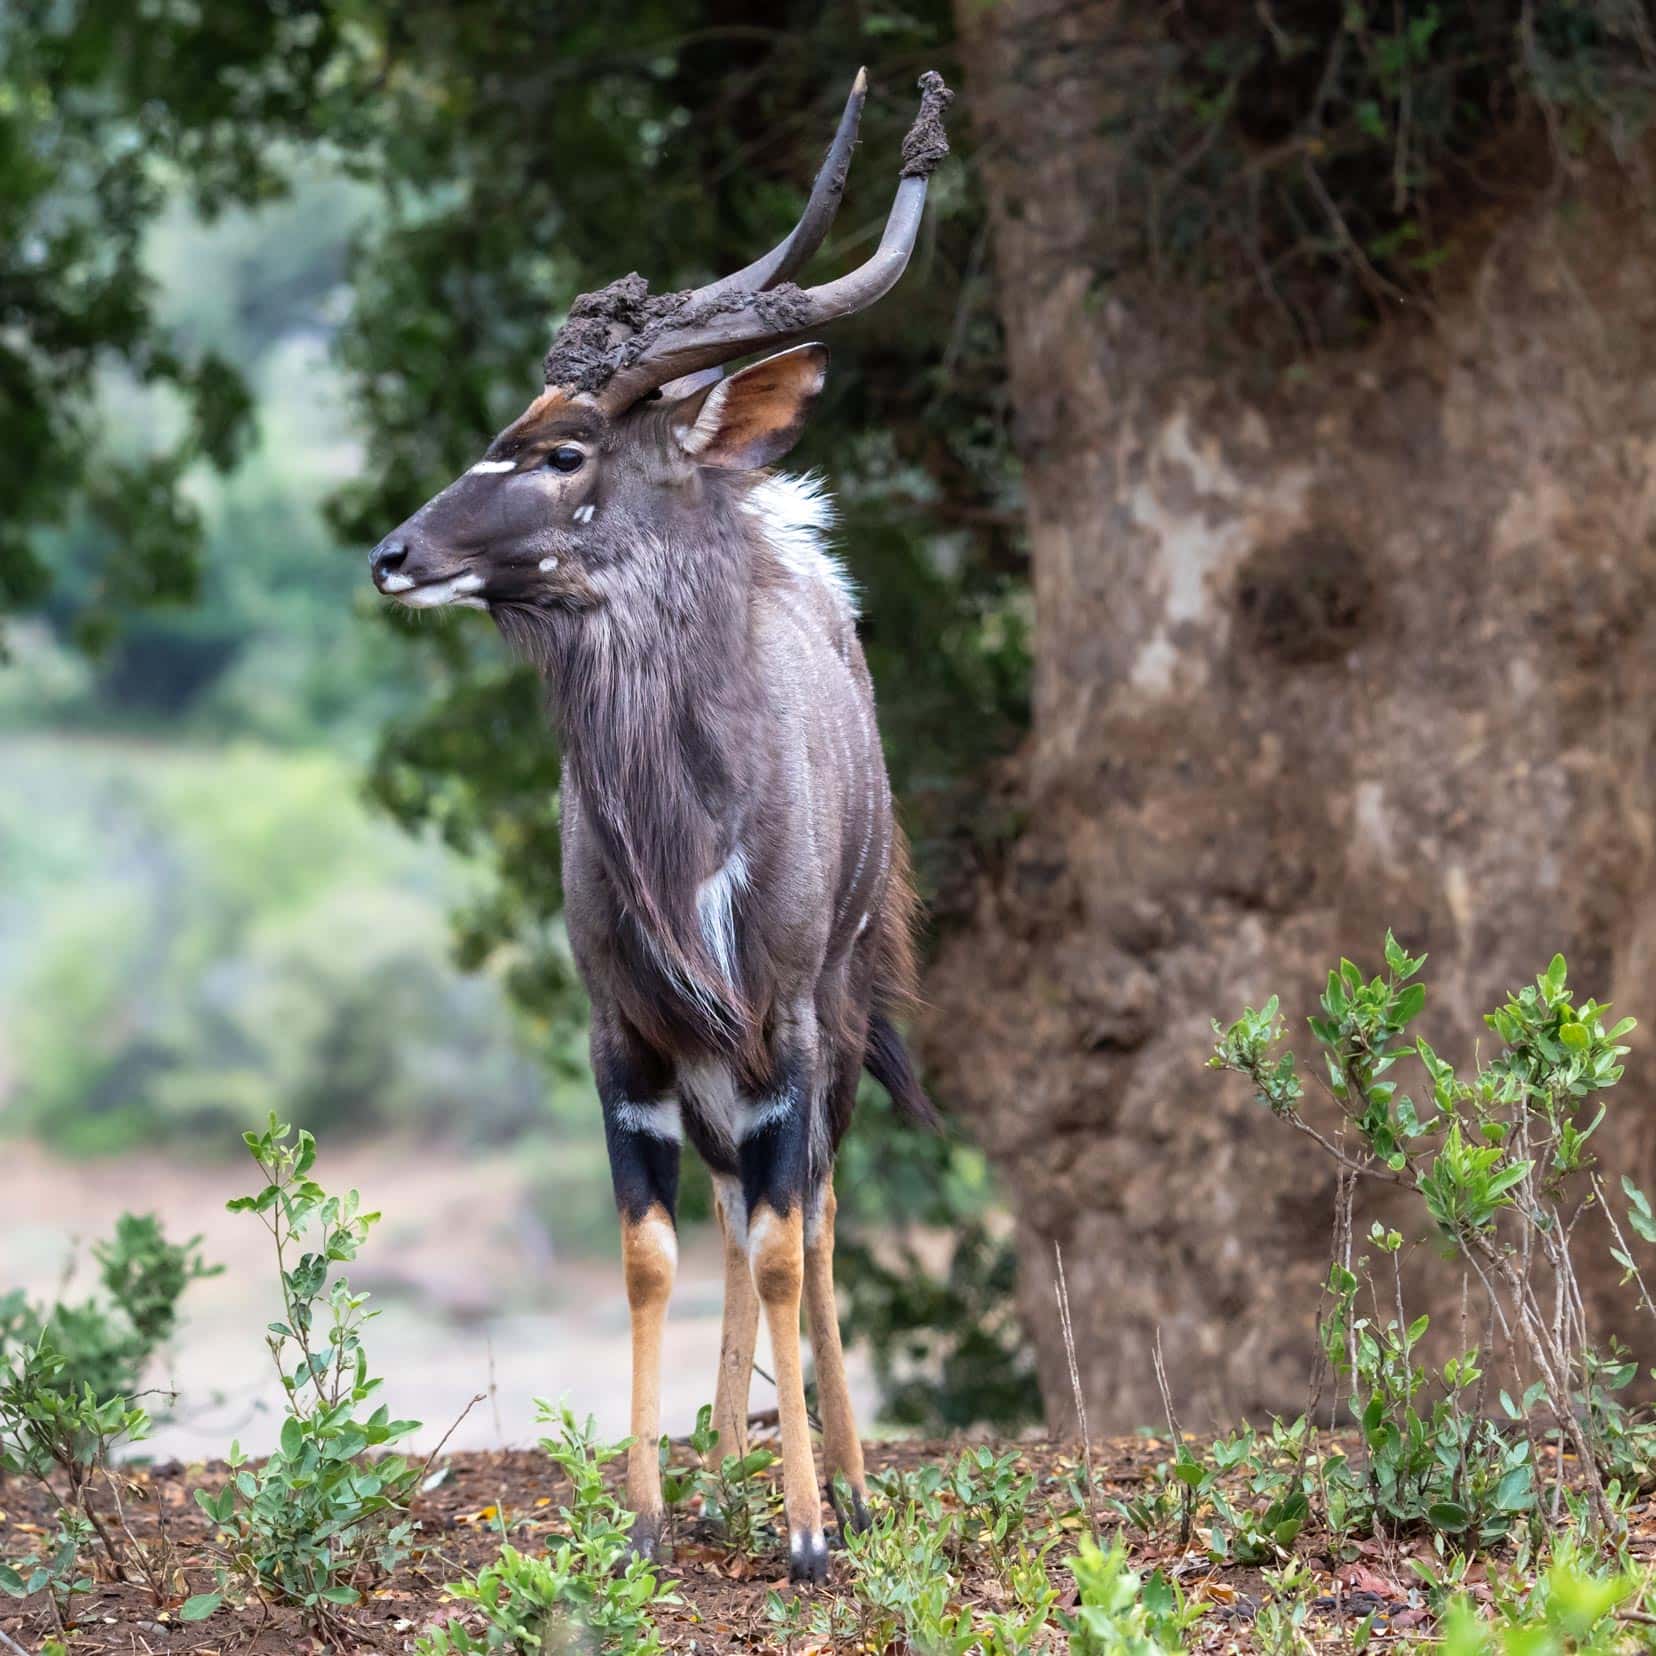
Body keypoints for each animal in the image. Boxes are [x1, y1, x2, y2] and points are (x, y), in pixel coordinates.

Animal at [369, 71, 953, 1583]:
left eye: (562, 449)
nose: (394, 555)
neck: (690, 828)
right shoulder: (626, 1026)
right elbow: (652, 1251)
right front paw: (642, 1520)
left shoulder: (789, 1016)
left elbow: (790, 1240)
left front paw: (811, 1533)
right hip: (719, 1057)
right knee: (746, 1209)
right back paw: (726, 1471)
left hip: (834, 1018)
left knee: (808, 1216)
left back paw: (844, 1484)